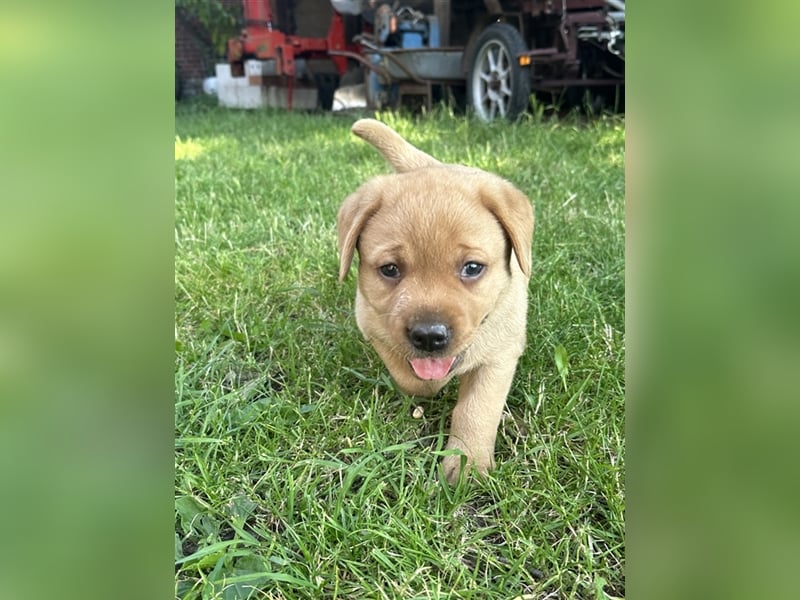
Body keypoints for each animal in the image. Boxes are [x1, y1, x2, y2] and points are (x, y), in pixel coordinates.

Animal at [334, 118, 536, 482]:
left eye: (472, 268)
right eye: (390, 269)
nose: (429, 336)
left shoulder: (500, 353)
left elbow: (477, 409)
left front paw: (467, 463)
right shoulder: (372, 326)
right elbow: (411, 378)